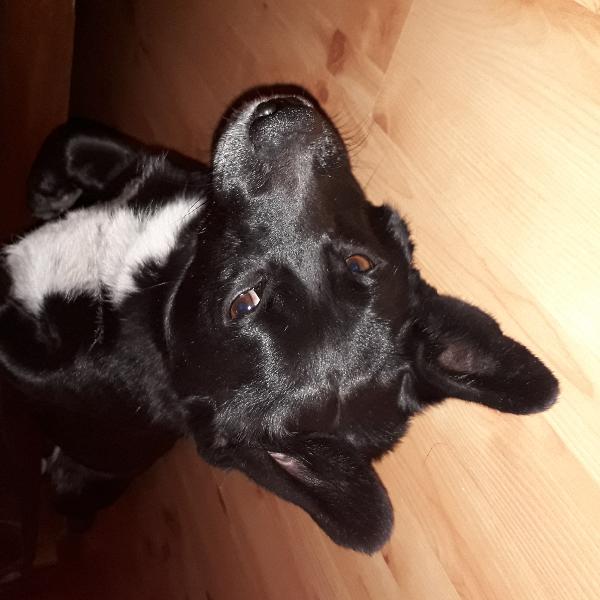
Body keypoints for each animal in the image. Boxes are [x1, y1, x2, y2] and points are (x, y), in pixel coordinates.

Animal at [0, 90, 558, 553]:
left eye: (241, 304)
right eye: (360, 264)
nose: (283, 121)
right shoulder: (157, 168)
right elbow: (74, 138)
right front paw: (47, 193)